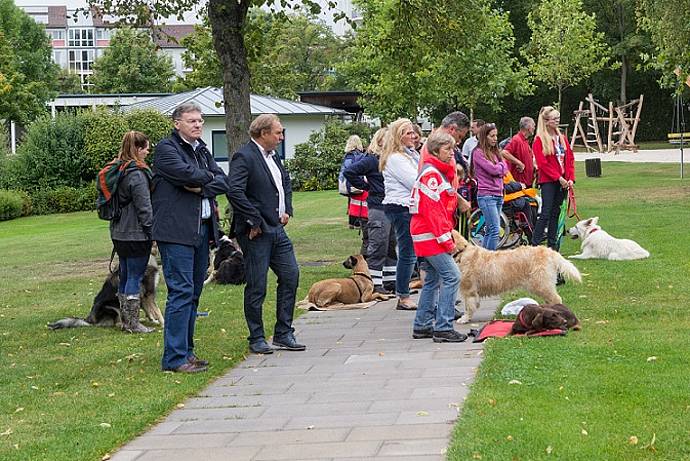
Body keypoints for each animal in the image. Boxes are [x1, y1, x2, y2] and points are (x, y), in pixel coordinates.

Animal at [452, 230, 580, 324]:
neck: (461, 253)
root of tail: (549, 251)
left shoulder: (469, 291)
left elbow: (469, 307)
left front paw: (464, 319)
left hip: (541, 284)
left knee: (556, 299)